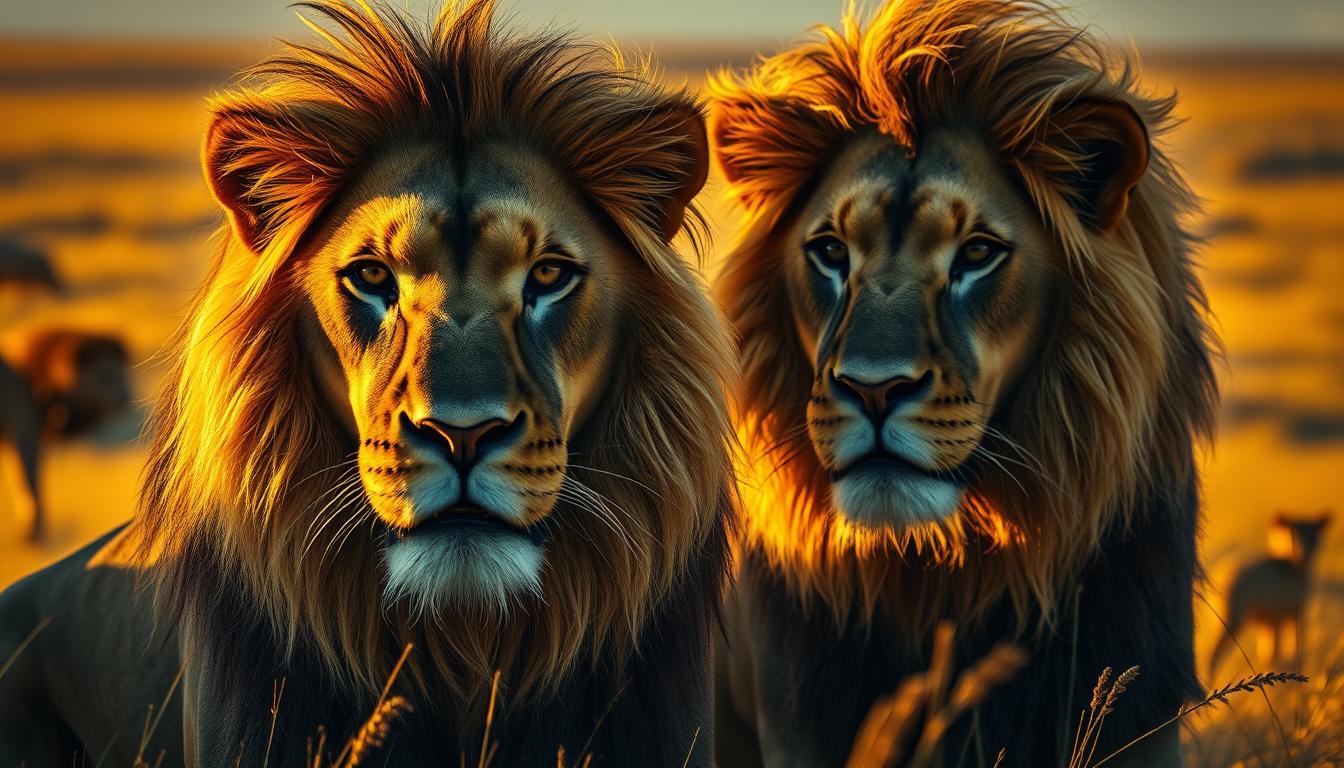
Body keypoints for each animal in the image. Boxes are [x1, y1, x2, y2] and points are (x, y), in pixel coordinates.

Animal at [0, 328, 132, 541]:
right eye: (104, 376)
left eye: (124, 373)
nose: (125, 400)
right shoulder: (24, 425)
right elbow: (29, 480)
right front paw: (32, 529)